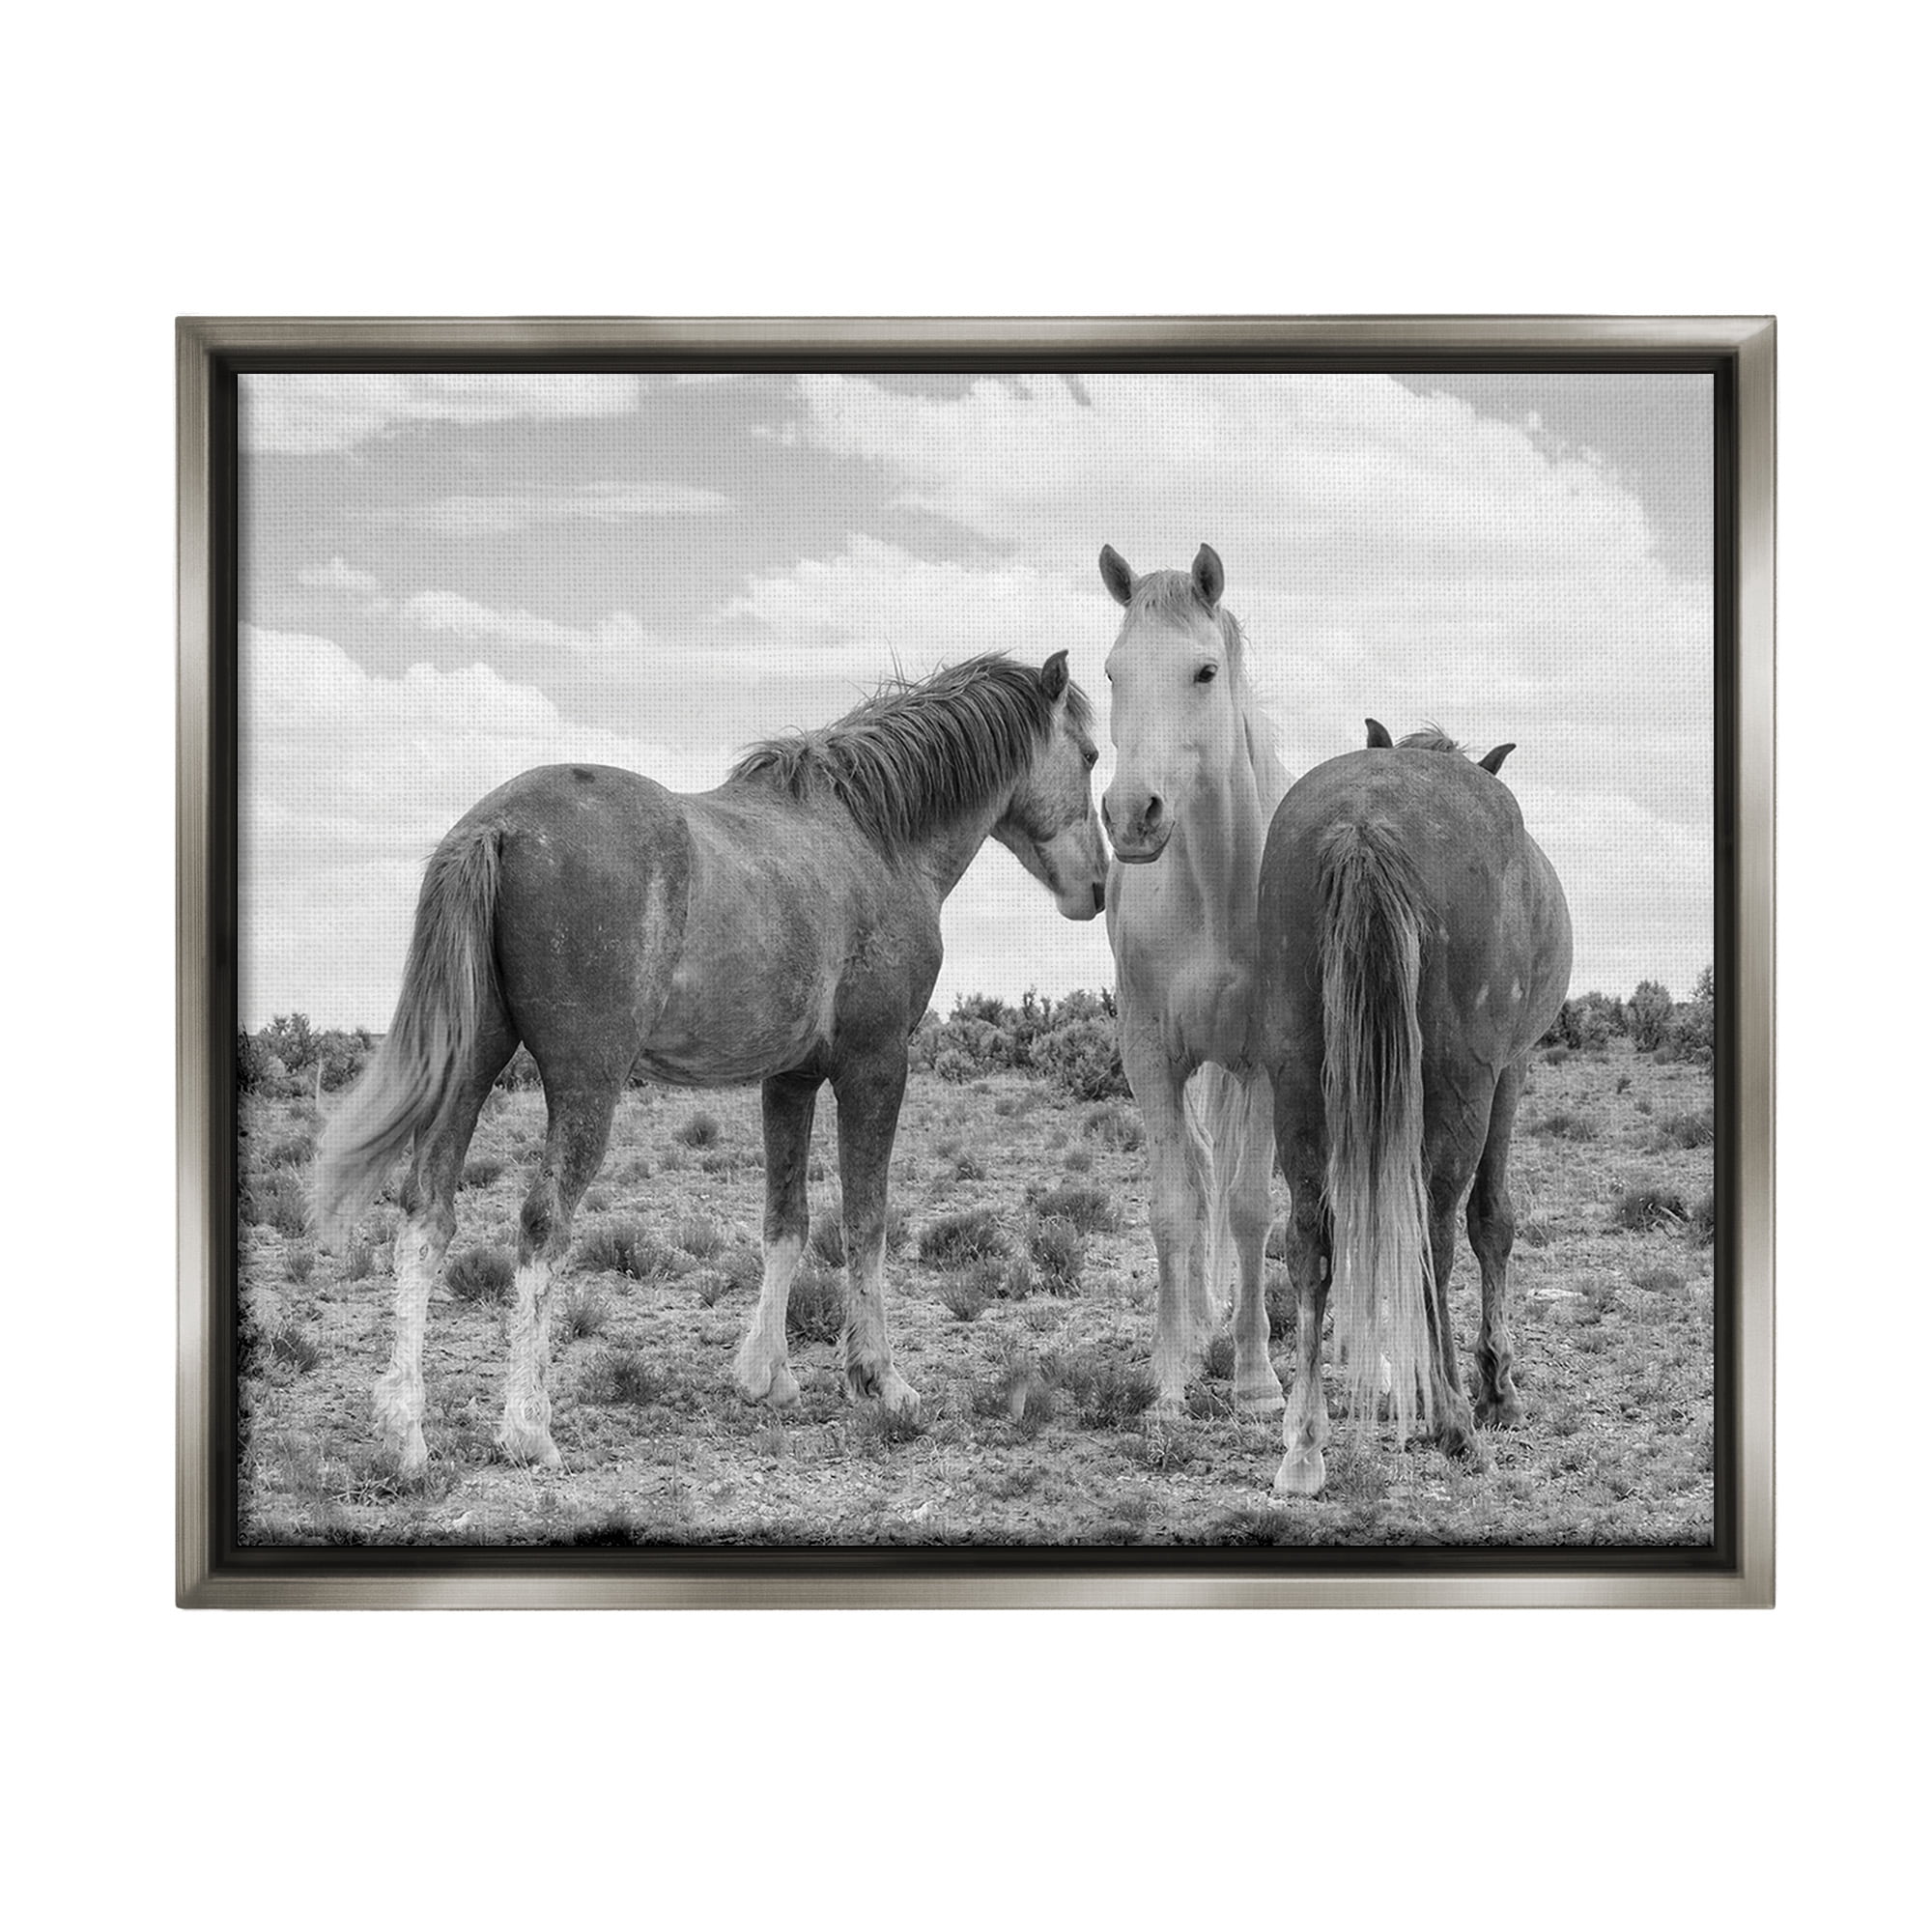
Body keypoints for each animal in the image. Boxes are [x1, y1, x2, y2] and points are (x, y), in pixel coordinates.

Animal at [312, 651, 1108, 1477]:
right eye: (1090, 755)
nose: (1097, 887)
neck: (874, 839)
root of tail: (495, 826)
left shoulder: (790, 1079)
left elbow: (786, 1222)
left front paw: (766, 1374)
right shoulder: (877, 1065)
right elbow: (866, 1222)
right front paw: (879, 1379)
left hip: (471, 1069)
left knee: (426, 1216)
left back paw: (405, 1431)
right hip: (586, 1086)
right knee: (540, 1224)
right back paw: (528, 1426)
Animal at [1257, 725, 1572, 1495]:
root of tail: (1365, 823)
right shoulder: (1510, 1070)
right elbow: (1493, 1220)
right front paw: (1498, 1389)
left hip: (1296, 1079)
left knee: (1308, 1239)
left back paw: (1304, 1445)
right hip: (1463, 1086)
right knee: (1436, 1234)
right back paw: (1455, 1418)